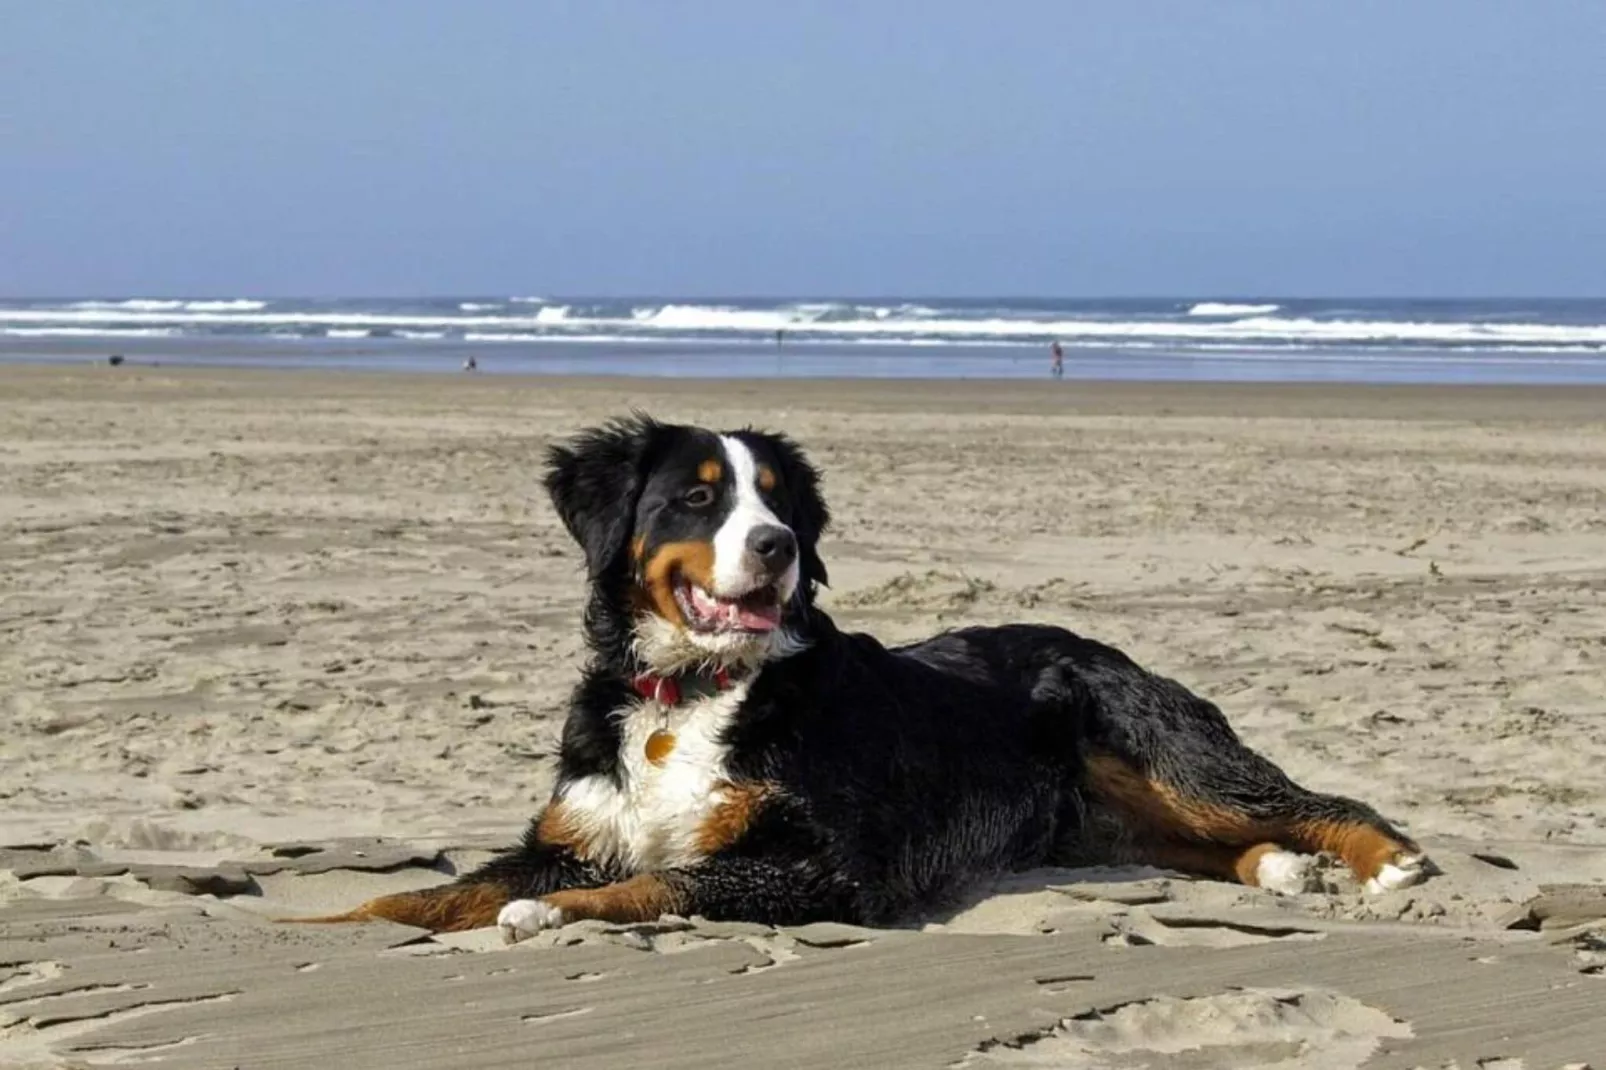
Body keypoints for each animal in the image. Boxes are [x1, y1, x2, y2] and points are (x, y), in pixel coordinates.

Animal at [313, 411, 1432, 938]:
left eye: (778, 502)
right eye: (697, 498)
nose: (775, 547)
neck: (694, 691)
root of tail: (1100, 643)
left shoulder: (824, 862)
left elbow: (660, 879)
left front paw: (550, 916)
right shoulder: (569, 834)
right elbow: (426, 895)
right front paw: (312, 924)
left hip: (1169, 753)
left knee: (1313, 799)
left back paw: (1386, 861)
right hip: (1106, 820)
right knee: (1212, 843)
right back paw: (1282, 869)